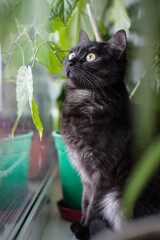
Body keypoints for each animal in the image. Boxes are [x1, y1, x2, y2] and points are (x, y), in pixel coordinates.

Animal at [60, 30, 160, 240]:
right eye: (71, 54)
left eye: (91, 57)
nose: (71, 63)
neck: (83, 101)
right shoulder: (86, 175)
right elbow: (85, 201)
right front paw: (81, 224)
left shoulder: (104, 172)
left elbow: (94, 206)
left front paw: (84, 229)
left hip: (120, 196)